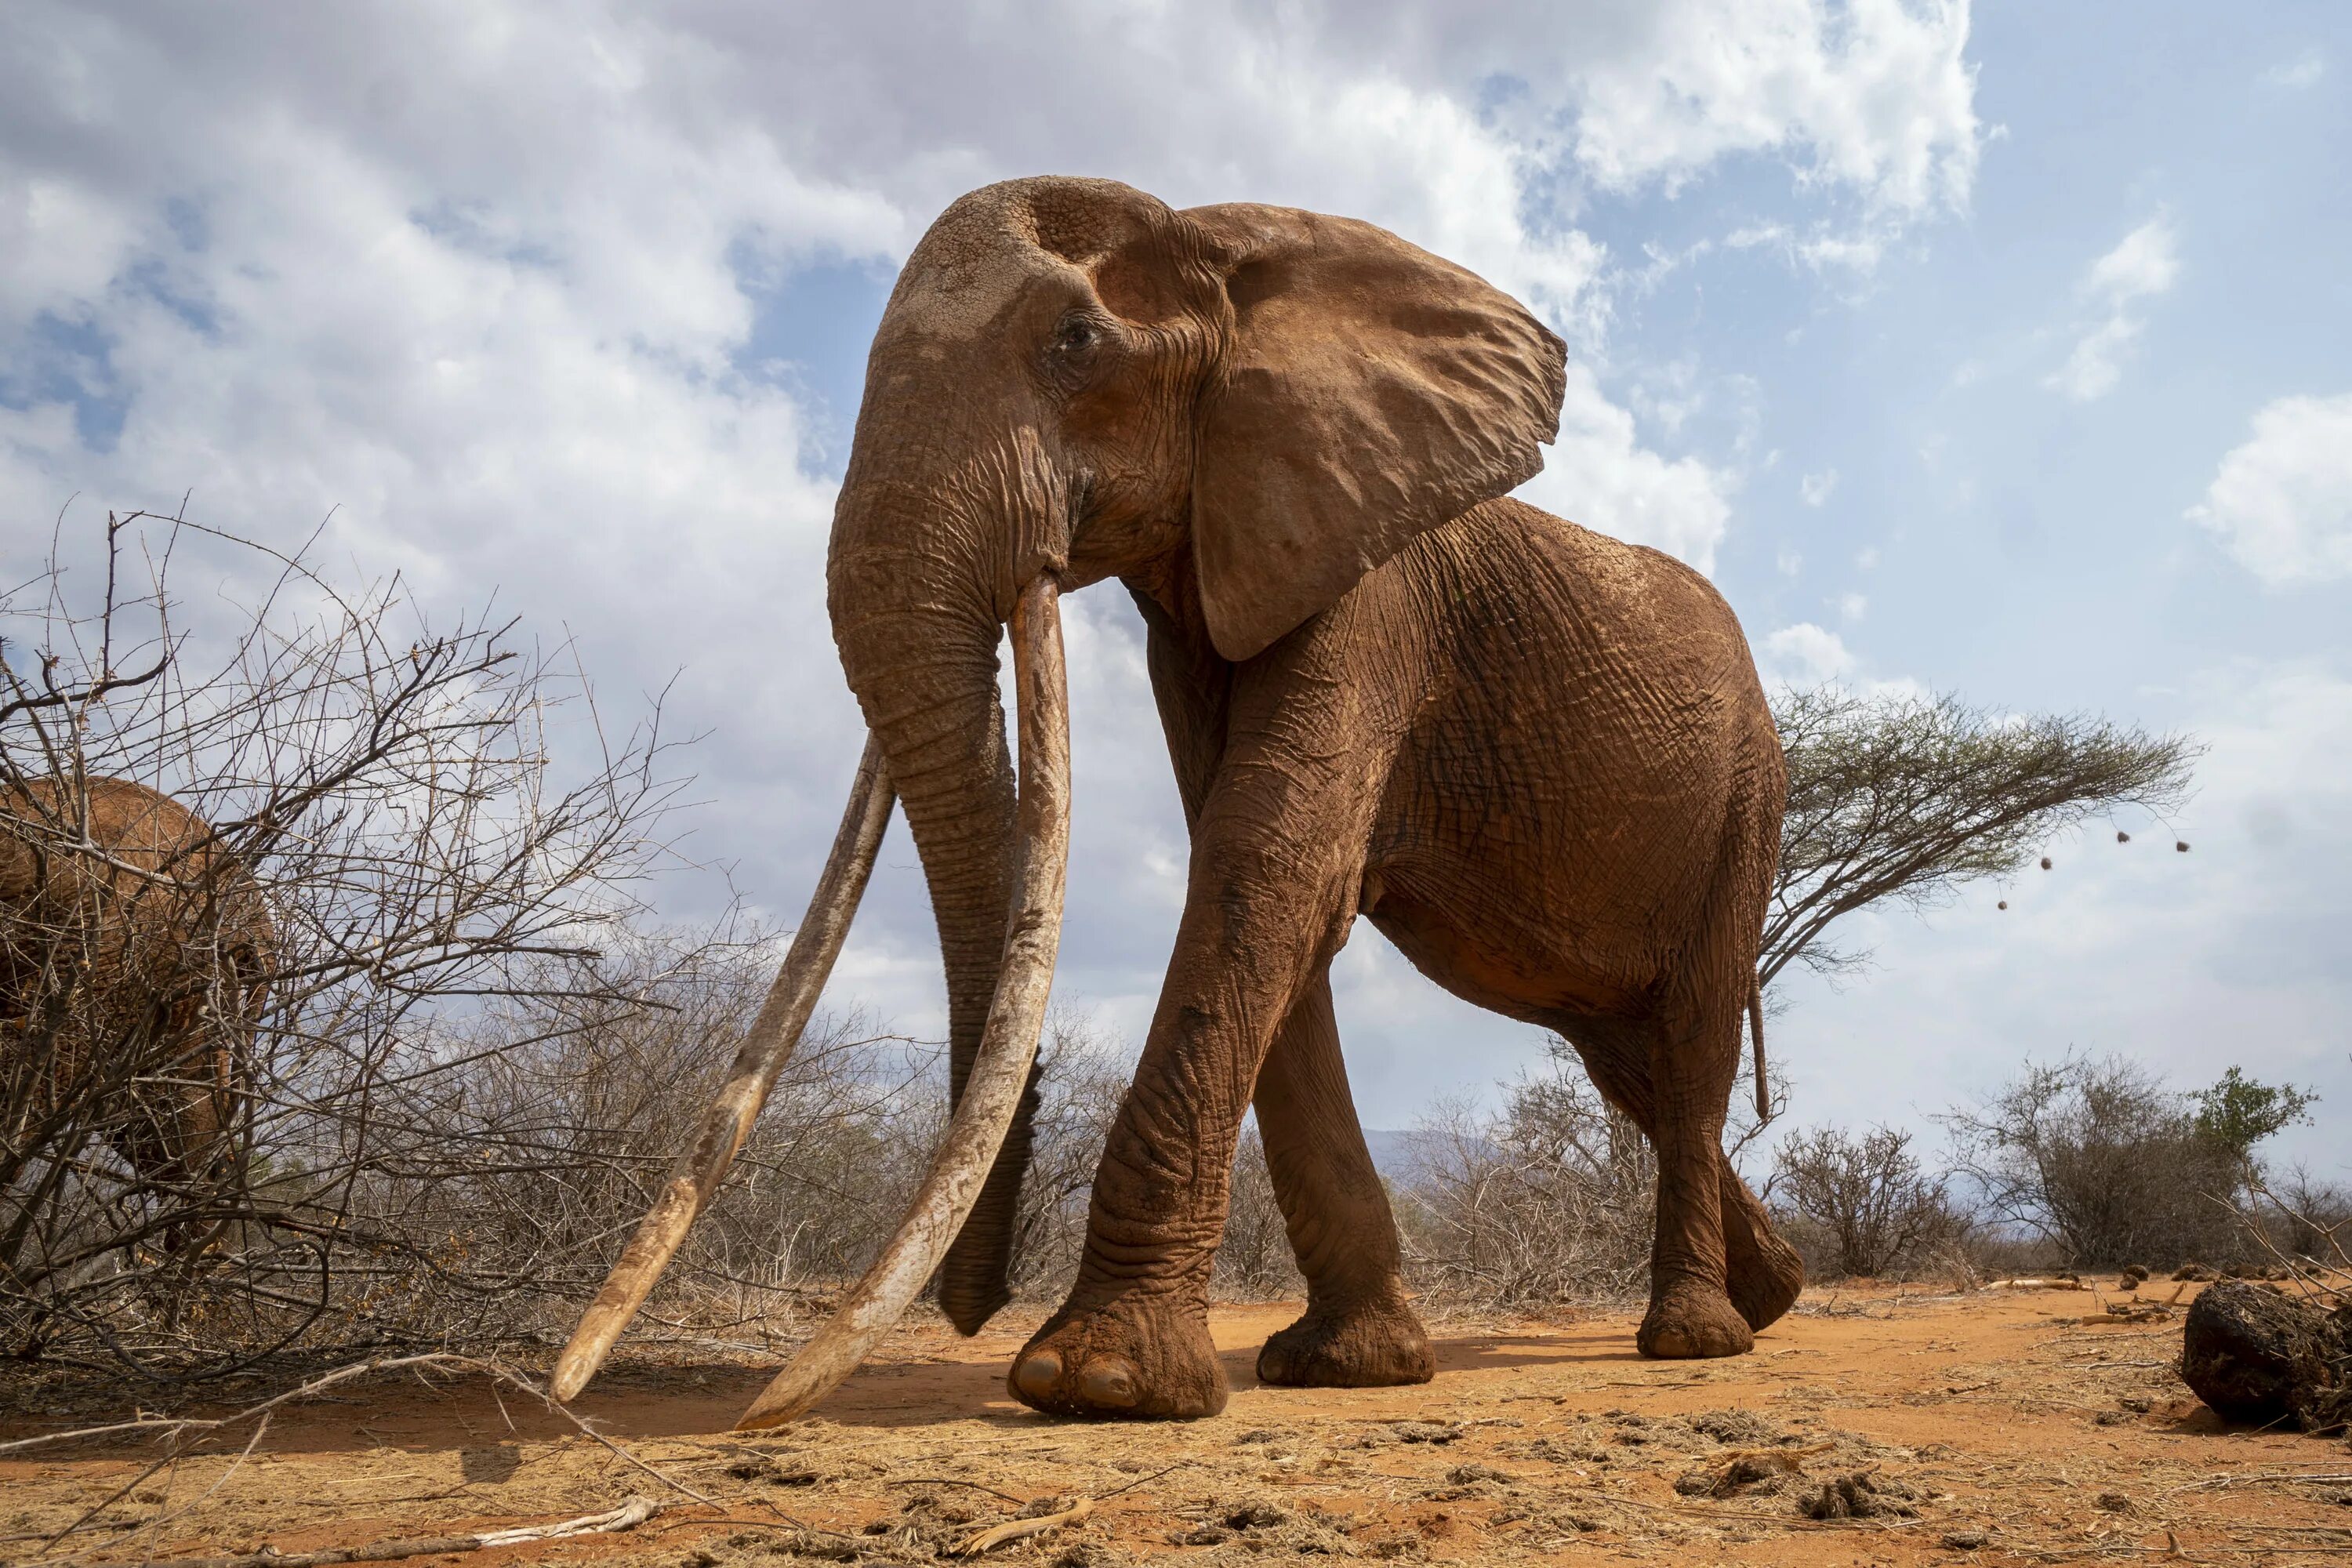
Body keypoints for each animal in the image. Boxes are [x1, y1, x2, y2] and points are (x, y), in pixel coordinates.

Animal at [555, 175, 1797, 1439]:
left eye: (1076, 342)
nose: (971, 1307)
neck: (1238, 244)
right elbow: (1263, 878)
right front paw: (1351, 1364)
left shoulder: (1372, 594)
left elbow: (1269, 863)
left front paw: (1096, 1382)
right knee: (1625, 1057)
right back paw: (1777, 1291)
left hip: (1750, 799)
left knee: (1690, 1034)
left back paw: (1696, 1336)